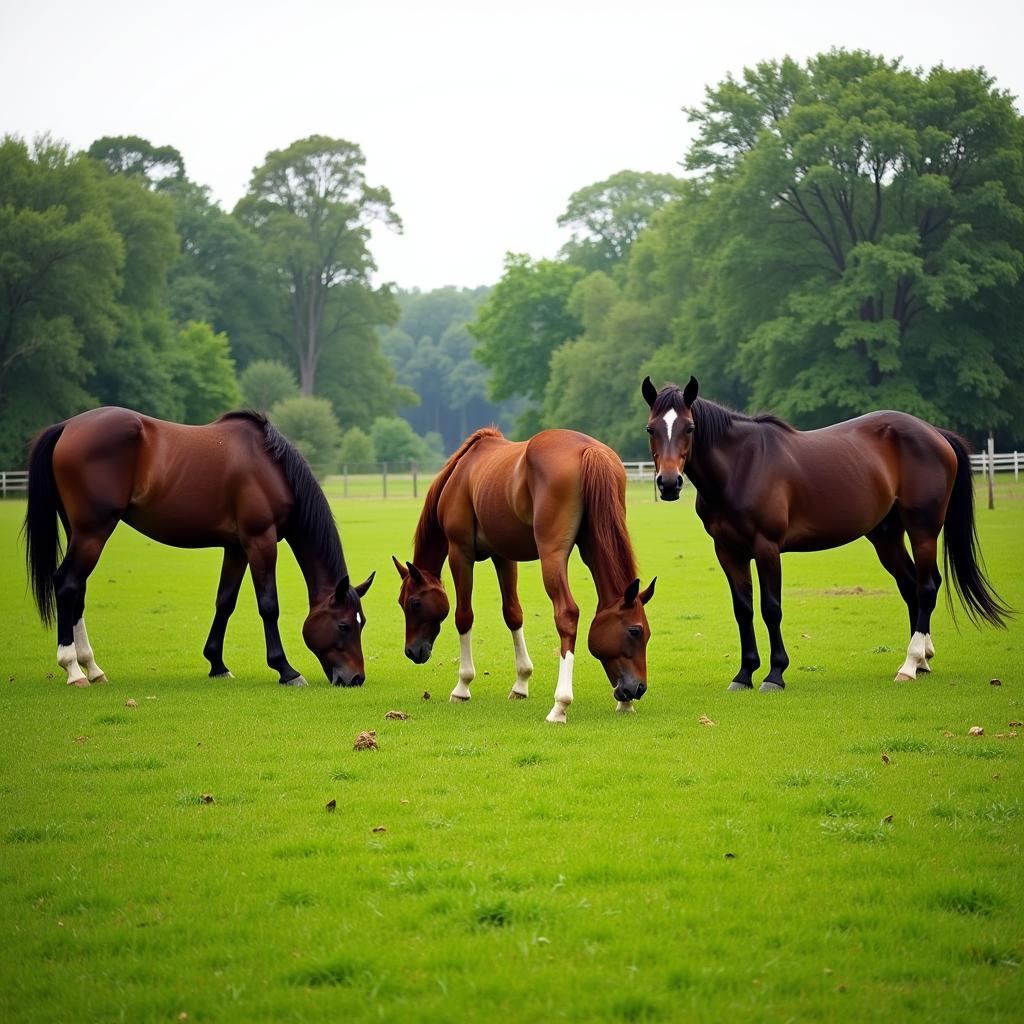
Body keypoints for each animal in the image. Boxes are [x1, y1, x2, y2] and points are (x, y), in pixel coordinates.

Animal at [24, 405, 374, 688]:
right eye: (344, 625)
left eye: (363, 623)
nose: (355, 678)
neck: (272, 467)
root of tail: (67, 426)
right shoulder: (260, 541)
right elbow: (268, 605)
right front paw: (285, 670)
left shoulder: (237, 548)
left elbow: (225, 602)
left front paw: (217, 664)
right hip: (93, 532)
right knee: (68, 585)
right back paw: (73, 669)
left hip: (79, 531)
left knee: (78, 590)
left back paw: (93, 668)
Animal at [391, 428, 655, 724]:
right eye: (638, 631)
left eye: (413, 603)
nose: (411, 651)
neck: (461, 474)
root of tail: (589, 450)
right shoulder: (504, 555)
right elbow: (513, 613)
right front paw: (521, 682)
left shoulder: (460, 552)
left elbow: (463, 616)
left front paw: (463, 685)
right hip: (594, 542)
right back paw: (620, 702)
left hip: (552, 554)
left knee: (567, 614)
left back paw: (561, 704)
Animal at [638, 372, 1007, 692]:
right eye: (651, 429)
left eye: (689, 428)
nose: (668, 484)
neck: (741, 466)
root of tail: (935, 433)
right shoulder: (728, 550)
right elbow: (743, 609)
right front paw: (744, 675)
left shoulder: (767, 547)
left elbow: (771, 608)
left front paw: (775, 674)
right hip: (886, 535)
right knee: (911, 587)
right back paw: (923, 660)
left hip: (923, 529)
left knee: (927, 587)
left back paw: (909, 664)